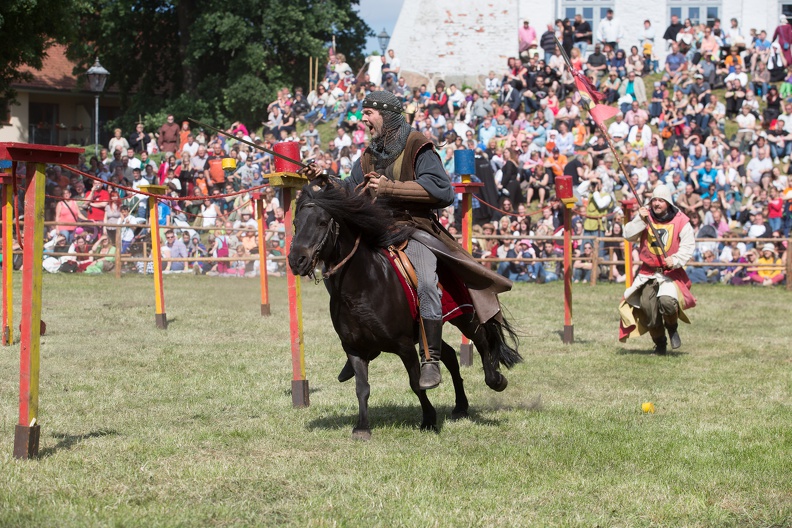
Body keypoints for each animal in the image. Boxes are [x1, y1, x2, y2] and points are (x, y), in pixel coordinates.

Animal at [288, 179, 524, 440]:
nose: (296, 260)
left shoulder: (404, 345)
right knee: (450, 355)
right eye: (296, 223)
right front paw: (362, 427)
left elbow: (416, 382)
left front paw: (429, 420)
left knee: (481, 341)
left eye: (322, 222)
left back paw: (495, 380)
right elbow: (362, 387)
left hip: (464, 315)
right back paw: (461, 405)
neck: (363, 287)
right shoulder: (354, 348)